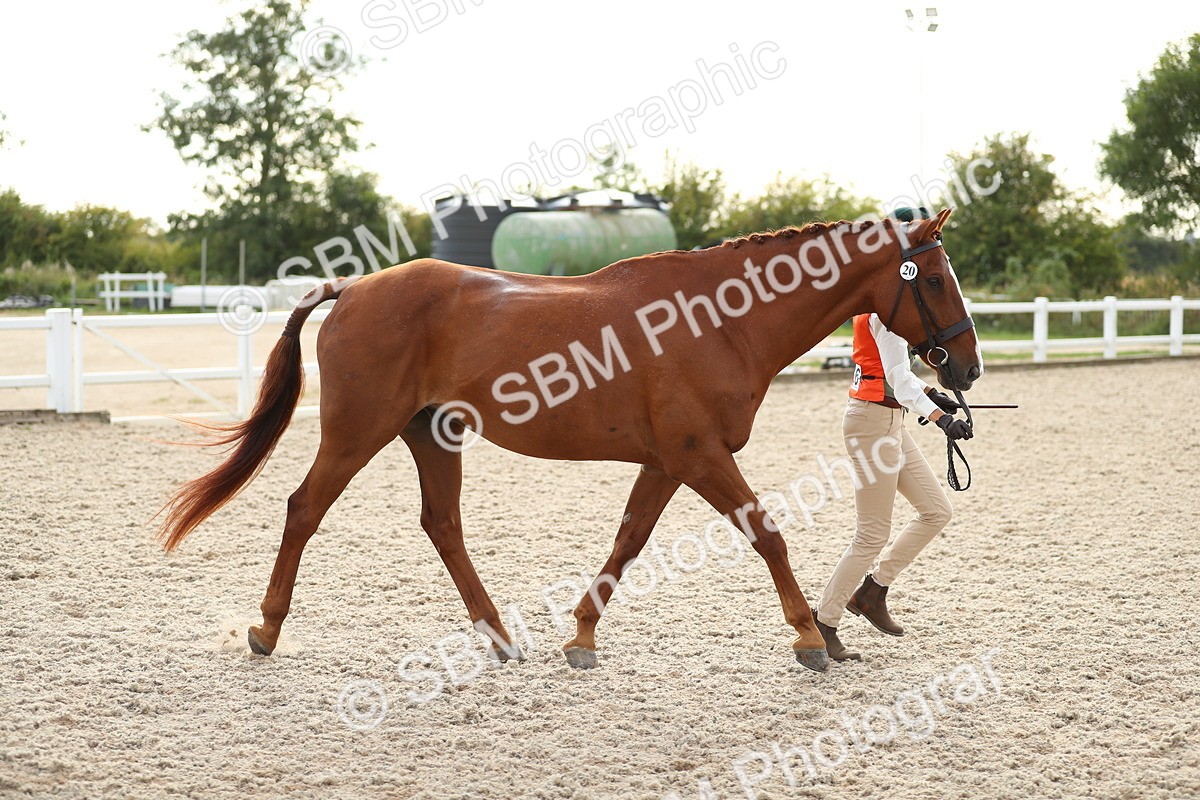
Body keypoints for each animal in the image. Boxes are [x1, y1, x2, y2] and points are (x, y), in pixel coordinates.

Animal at [158, 207, 981, 673]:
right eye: (937, 278)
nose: (967, 367)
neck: (720, 321)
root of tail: (353, 287)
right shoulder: (699, 456)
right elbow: (767, 535)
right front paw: (810, 638)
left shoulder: (668, 462)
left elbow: (629, 540)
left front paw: (581, 638)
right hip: (359, 431)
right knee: (305, 509)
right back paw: (266, 630)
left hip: (432, 436)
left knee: (442, 525)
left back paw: (500, 640)